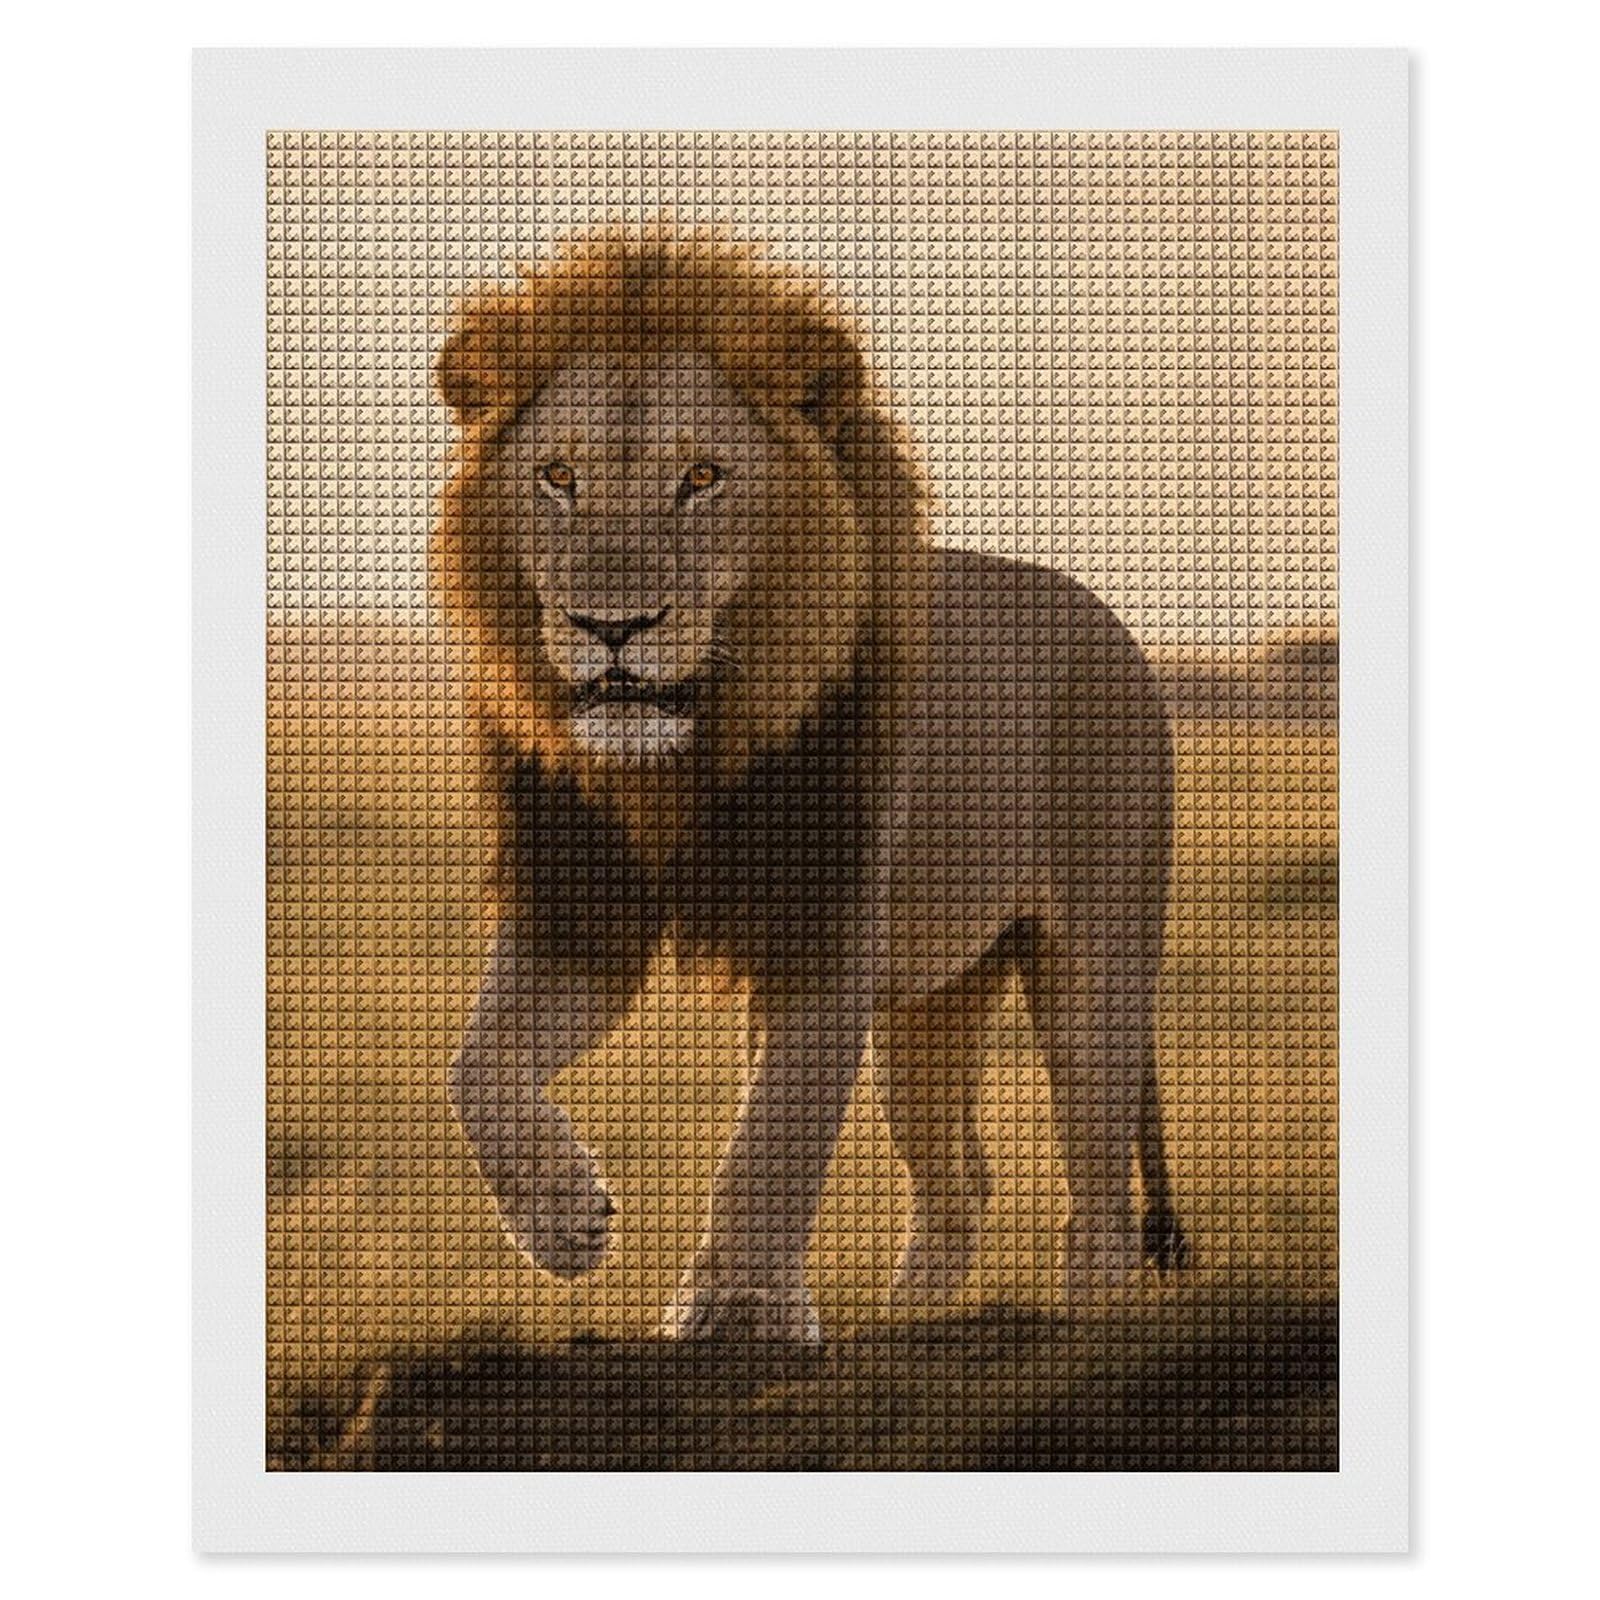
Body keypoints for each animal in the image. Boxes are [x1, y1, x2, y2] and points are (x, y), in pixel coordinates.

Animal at [434, 230, 1187, 1343]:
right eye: (557, 475)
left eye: (701, 476)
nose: (612, 628)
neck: (688, 759)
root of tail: (1117, 628)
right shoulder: (581, 914)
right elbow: (476, 1065)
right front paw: (564, 1219)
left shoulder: (825, 927)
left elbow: (773, 1136)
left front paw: (739, 1307)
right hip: (936, 998)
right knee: (959, 1184)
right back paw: (905, 1329)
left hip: (1094, 962)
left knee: (1098, 1198)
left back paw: (1082, 1334)